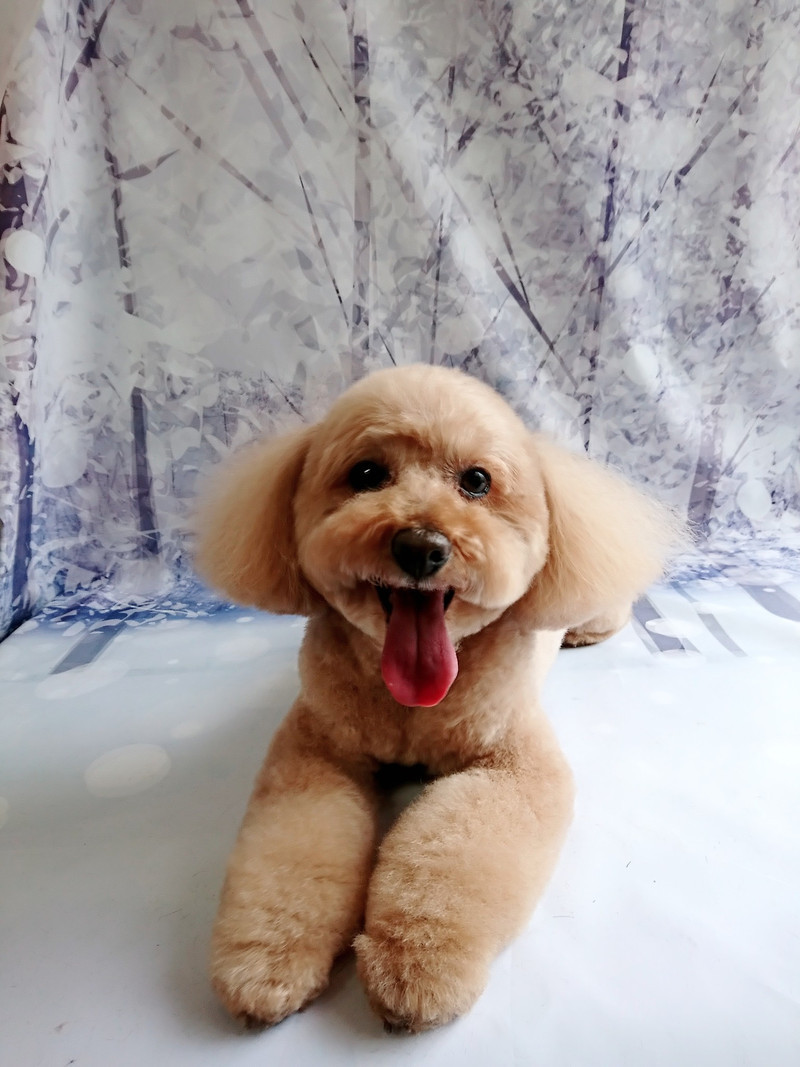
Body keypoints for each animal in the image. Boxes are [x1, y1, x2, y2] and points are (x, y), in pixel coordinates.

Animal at [195, 363, 681, 1032]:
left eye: (476, 481)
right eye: (366, 474)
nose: (421, 545)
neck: (411, 707)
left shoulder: (511, 766)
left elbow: (447, 860)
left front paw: (415, 966)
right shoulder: (316, 753)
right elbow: (293, 853)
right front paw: (267, 959)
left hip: (599, 599)